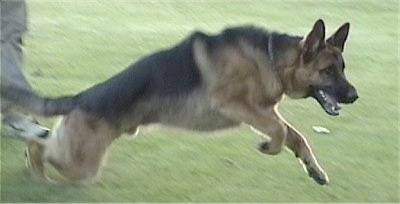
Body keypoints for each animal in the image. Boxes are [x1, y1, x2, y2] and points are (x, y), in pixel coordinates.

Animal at [0, 18, 356, 185]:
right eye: (327, 70)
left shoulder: (265, 111)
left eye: (342, 68)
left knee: (41, 144)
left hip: (82, 158)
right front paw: (268, 147)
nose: (354, 96)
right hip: (81, 162)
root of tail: (81, 98)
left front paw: (313, 169)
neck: (269, 59)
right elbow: (281, 133)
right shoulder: (238, 105)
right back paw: (39, 175)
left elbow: (296, 136)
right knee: (38, 145)